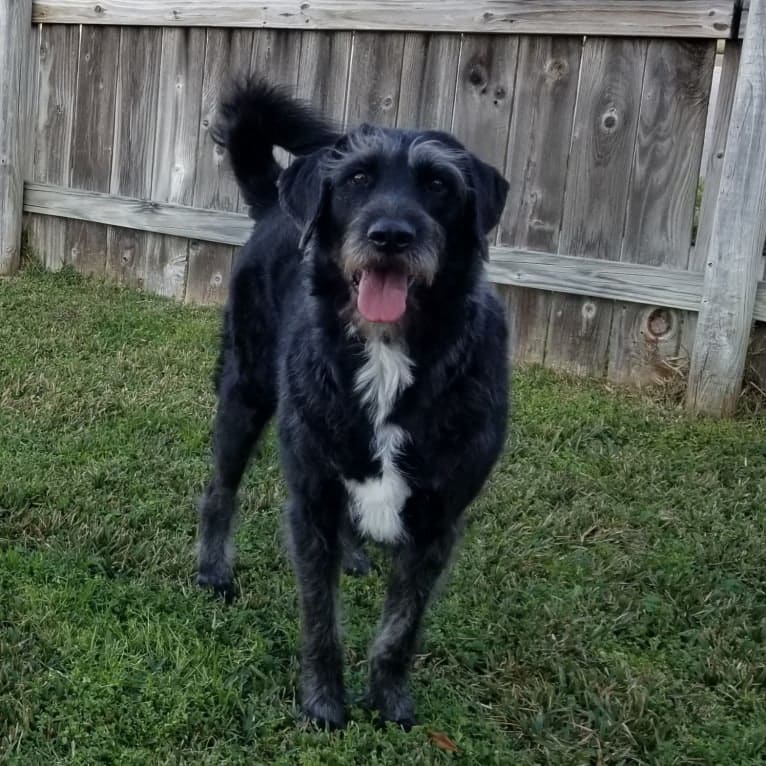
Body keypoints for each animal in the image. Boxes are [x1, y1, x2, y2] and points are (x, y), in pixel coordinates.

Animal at [196, 79, 510, 732]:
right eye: (358, 178)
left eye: (439, 185)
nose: (391, 235)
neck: (387, 352)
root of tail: (274, 205)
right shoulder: (310, 498)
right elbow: (321, 619)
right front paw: (323, 703)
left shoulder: (439, 519)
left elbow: (402, 627)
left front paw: (388, 699)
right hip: (243, 390)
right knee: (219, 488)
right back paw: (212, 569)